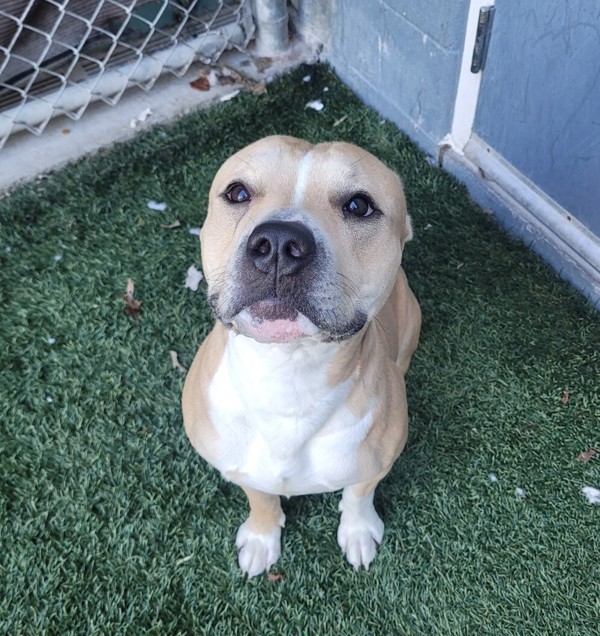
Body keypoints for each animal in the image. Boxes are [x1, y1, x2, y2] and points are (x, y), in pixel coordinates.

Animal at [183, 134, 422, 576]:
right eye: (237, 192)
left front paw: (358, 530)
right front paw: (262, 536)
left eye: (359, 205)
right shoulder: (239, 466)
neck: (288, 374)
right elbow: (260, 496)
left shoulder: (377, 464)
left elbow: (358, 495)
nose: (278, 243)